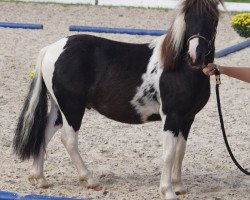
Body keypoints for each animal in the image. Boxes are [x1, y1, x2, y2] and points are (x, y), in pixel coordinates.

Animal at [13, 0, 223, 199]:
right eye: (187, 18)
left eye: (213, 18)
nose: (195, 56)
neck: (179, 67)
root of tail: (51, 49)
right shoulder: (172, 117)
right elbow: (169, 153)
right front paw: (168, 192)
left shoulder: (187, 118)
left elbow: (180, 151)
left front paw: (179, 186)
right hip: (72, 108)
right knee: (69, 140)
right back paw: (90, 180)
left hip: (60, 108)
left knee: (45, 133)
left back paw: (40, 178)